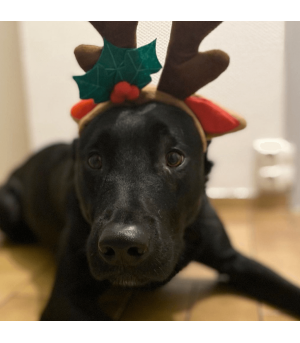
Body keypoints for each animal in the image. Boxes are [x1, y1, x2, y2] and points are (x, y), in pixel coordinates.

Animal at [0, 101, 300, 320]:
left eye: (174, 157)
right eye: (94, 160)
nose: (121, 245)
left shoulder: (232, 259)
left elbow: (286, 287)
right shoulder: (65, 298)